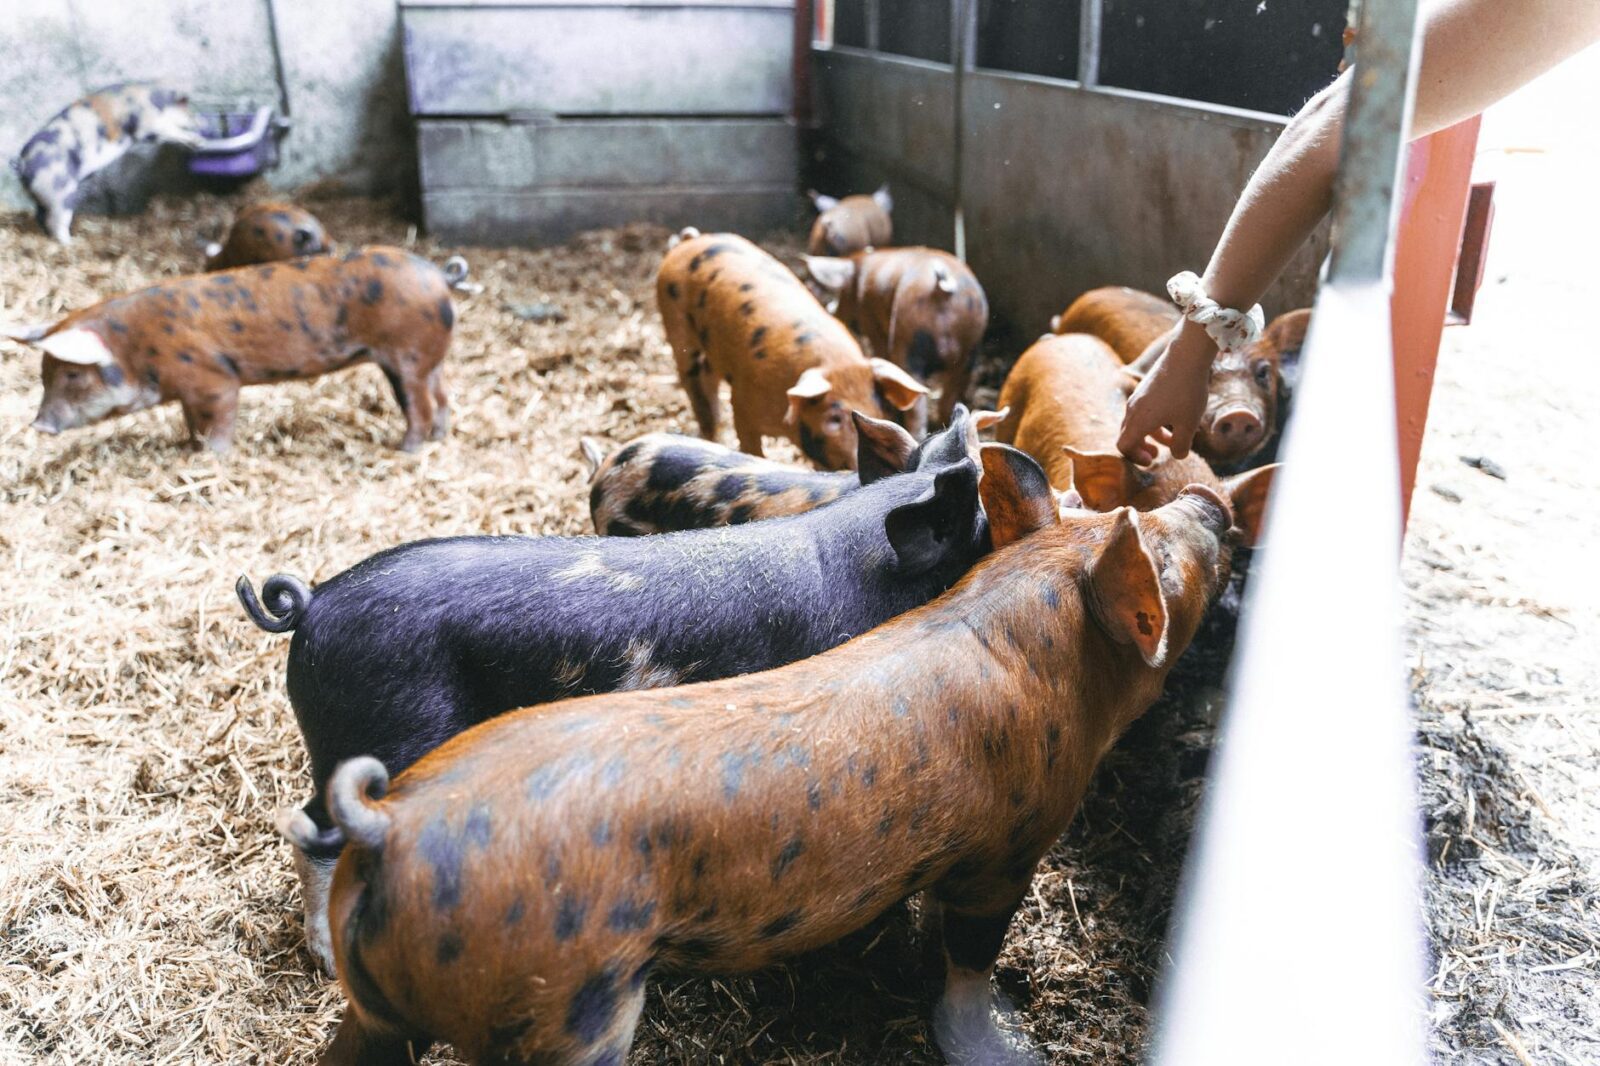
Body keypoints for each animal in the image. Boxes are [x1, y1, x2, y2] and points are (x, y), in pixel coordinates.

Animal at [4, 247, 455, 452]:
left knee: (419, 403)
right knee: (441, 397)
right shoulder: (188, 392)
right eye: (43, 375)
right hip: (425, 360)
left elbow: (217, 421)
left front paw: (210, 455)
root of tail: (438, 277)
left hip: (407, 355)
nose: (39, 426)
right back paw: (439, 437)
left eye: (72, 374)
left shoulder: (213, 380)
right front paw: (190, 446)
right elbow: (191, 422)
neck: (138, 349)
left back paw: (406, 449)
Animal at [12, 84, 202, 244]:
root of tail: (22, 164)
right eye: (188, 111)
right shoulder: (147, 124)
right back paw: (72, 243)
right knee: (55, 222)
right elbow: (168, 131)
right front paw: (196, 140)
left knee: (41, 216)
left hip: (42, 196)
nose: (198, 122)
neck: (155, 101)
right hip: (60, 194)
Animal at [311, 448, 1244, 1066]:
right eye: (1167, 566)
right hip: (563, 1005)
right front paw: (1009, 1047)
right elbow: (969, 958)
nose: (1212, 501)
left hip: (386, 1007)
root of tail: (392, 824)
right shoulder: (1009, 848)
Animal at [658, 229, 929, 471]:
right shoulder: (742, 404)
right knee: (693, 382)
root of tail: (690, 241)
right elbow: (751, 446)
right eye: (833, 418)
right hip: (676, 324)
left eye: (882, 410)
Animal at [804, 248, 990, 432]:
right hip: (971, 346)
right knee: (949, 397)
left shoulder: (871, 323)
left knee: (917, 403)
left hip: (908, 340)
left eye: (841, 293)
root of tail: (941, 290)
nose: (832, 311)